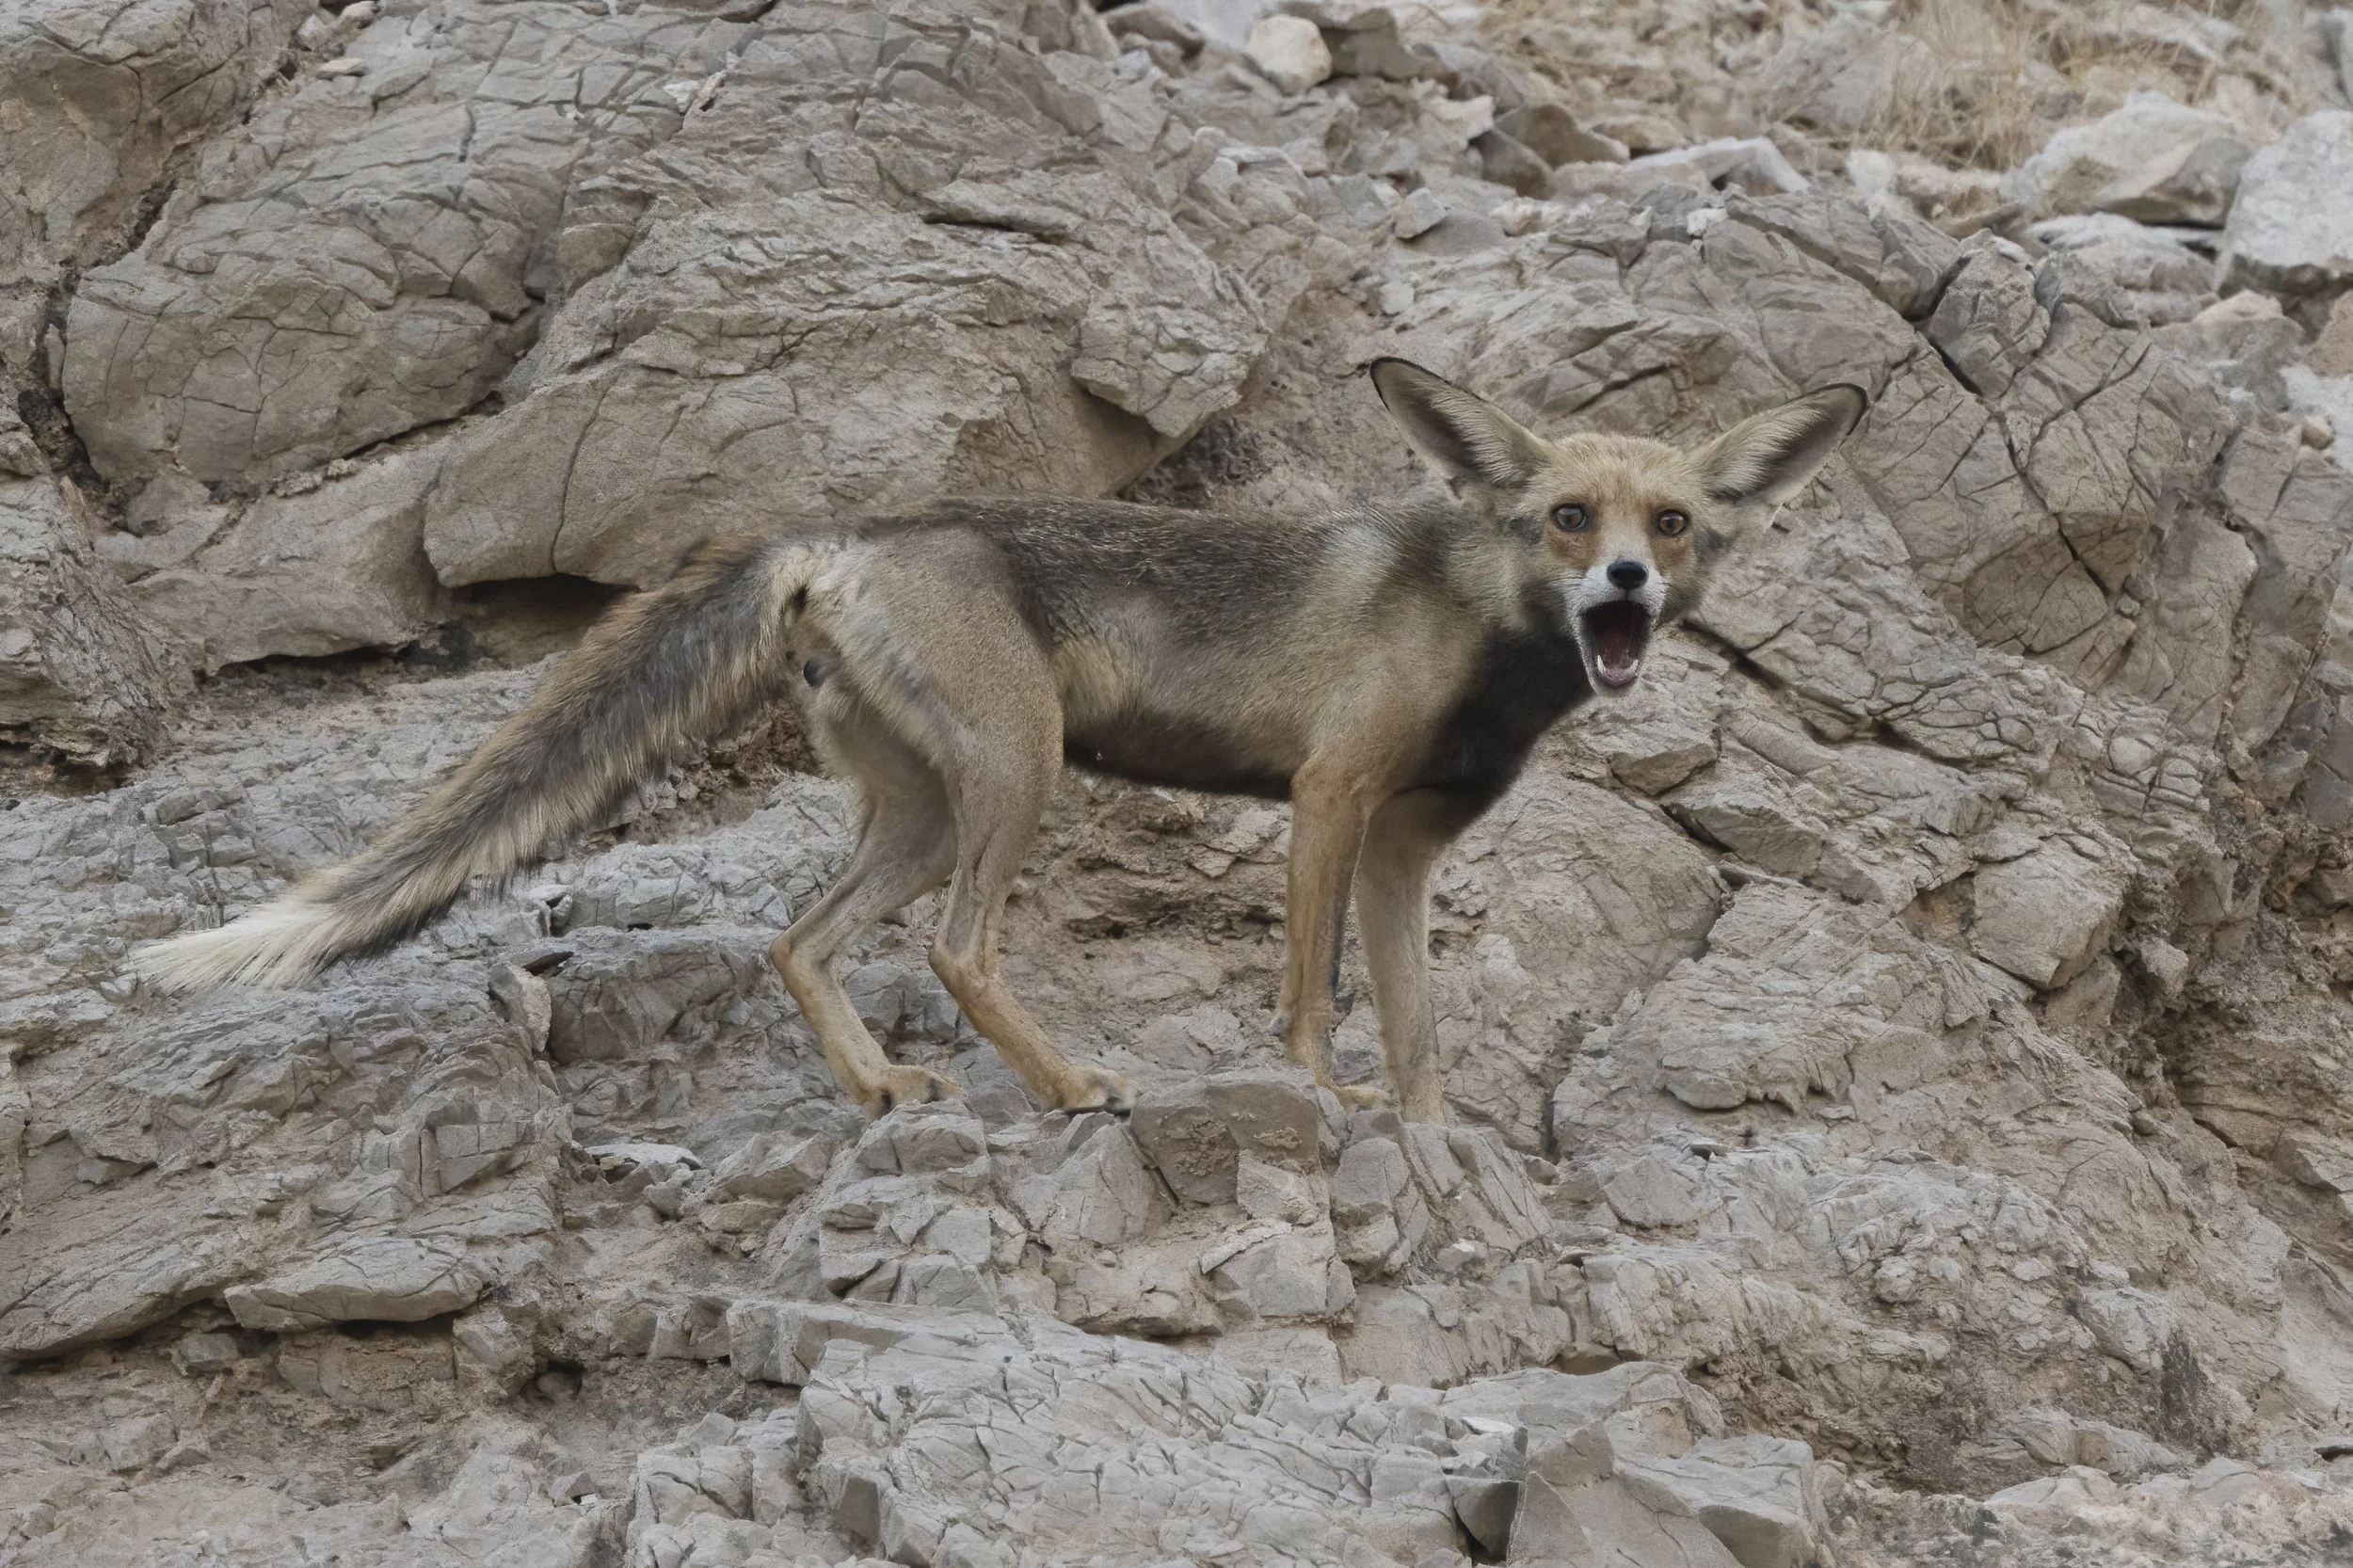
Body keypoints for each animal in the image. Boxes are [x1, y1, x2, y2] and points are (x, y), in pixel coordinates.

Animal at [135, 359, 1865, 1123]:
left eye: (1673, 523)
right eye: (1570, 516)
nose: (1626, 586)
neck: (1480, 639)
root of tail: (847, 527)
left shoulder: (1406, 844)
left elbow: (1421, 1031)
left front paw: (1438, 1162)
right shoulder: (1329, 795)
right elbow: (1314, 1002)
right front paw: (1314, 1100)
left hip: (915, 814)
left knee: (797, 938)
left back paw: (881, 1089)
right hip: (1017, 780)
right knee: (959, 950)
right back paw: (1066, 1084)